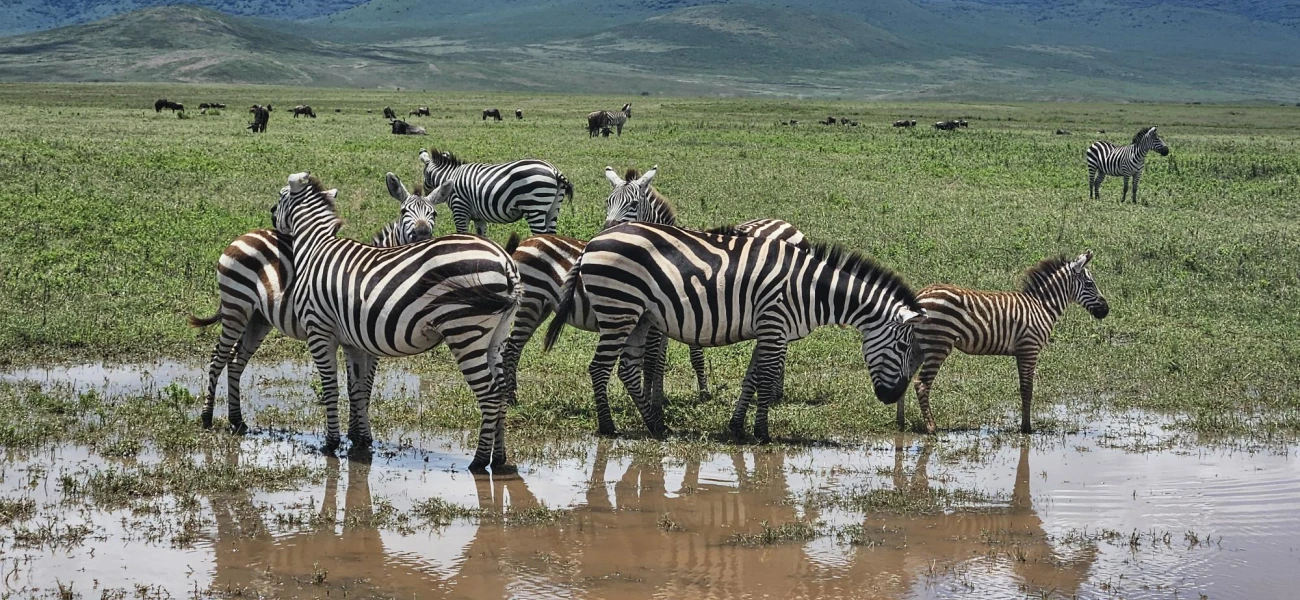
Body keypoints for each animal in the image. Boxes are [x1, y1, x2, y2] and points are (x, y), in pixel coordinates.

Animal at [185, 171, 444, 438]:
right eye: (404, 211)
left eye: (434, 214)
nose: (422, 234)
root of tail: (246, 234)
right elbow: (354, 387)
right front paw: (355, 434)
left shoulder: (367, 345)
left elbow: (364, 386)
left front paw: (356, 432)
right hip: (236, 305)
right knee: (218, 356)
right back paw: (207, 417)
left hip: (258, 318)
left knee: (236, 361)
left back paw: (237, 421)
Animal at [421, 146, 574, 235]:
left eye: (424, 175)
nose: (425, 194)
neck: (451, 176)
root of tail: (554, 170)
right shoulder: (479, 218)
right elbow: (481, 236)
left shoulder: (460, 209)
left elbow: (462, 233)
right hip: (553, 209)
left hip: (534, 207)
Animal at [538, 222, 925, 444]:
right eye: (904, 347)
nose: (891, 398)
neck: (810, 289)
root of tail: (594, 241)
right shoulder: (775, 325)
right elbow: (766, 381)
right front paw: (763, 433)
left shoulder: (767, 330)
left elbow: (751, 378)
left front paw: (738, 427)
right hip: (619, 307)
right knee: (599, 368)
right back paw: (608, 427)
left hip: (639, 316)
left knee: (627, 370)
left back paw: (656, 426)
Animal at [904, 250, 1107, 433]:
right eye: (1090, 283)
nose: (1106, 310)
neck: (1041, 306)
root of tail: (921, 294)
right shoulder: (1029, 348)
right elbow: (1027, 389)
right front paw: (1026, 429)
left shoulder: (1022, 351)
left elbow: (1023, 387)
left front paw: (1025, 425)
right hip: (938, 344)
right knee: (921, 384)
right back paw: (931, 428)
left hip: (919, 346)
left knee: (906, 376)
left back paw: (901, 421)